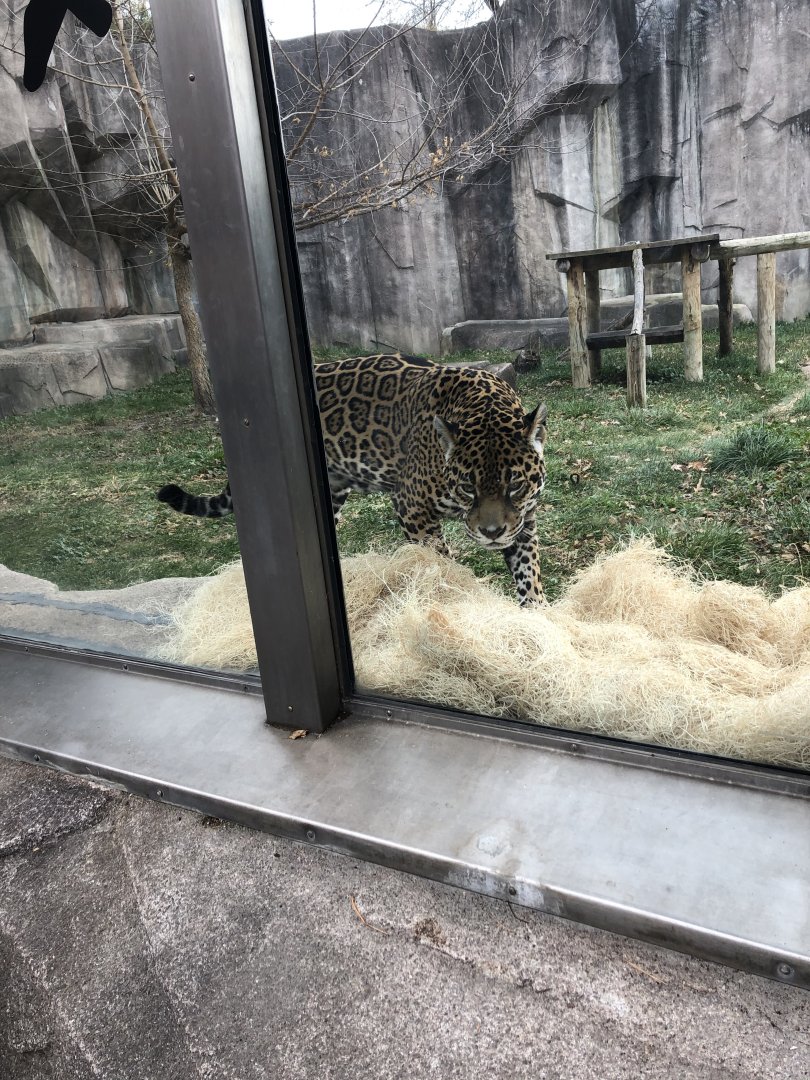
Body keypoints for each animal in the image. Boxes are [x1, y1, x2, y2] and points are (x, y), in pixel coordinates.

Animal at [158, 354, 548, 605]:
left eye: (515, 485)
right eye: (468, 487)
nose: (491, 532)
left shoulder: (524, 519)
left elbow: (528, 569)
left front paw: (537, 614)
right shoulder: (411, 507)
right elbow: (436, 561)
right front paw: (450, 591)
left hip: (332, 494)